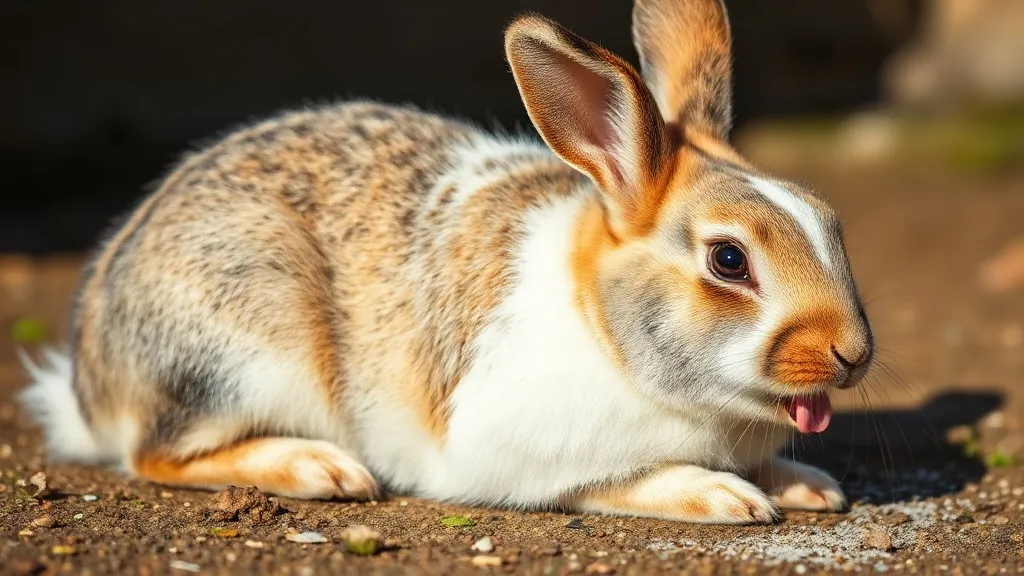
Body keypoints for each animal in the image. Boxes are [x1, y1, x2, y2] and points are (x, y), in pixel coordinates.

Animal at [20, 0, 872, 524]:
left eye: (831, 221)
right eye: (729, 260)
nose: (853, 354)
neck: (606, 327)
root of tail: (91, 381)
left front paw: (811, 487)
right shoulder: (513, 452)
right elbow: (621, 479)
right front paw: (724, 496)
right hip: (245, 347)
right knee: (154, 454)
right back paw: (322, 470)